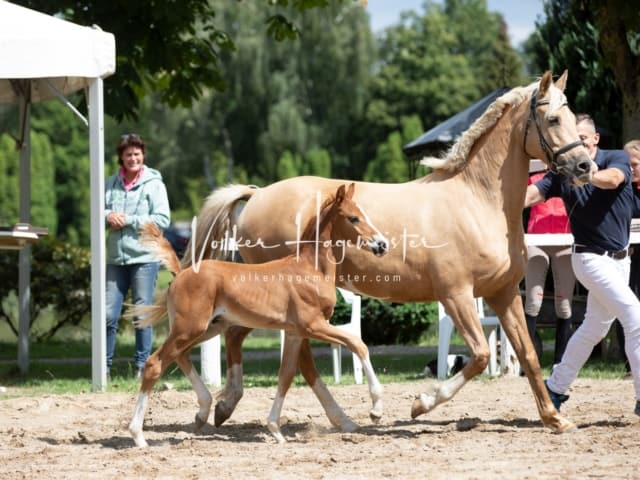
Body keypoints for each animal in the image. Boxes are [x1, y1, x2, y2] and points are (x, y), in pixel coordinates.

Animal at [124, 184, 384, 446]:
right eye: (353, 218)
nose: (381, 244)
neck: (310, 269)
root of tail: (181, 273)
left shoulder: (294, 333)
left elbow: (286, 375)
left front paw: (275, 429)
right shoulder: (313, 325)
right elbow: (358, 344)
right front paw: (376, 409)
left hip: (207, 328)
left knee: (181, 355)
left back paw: (204, 411)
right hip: (190, 328)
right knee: (154, 363)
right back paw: (138, 436)